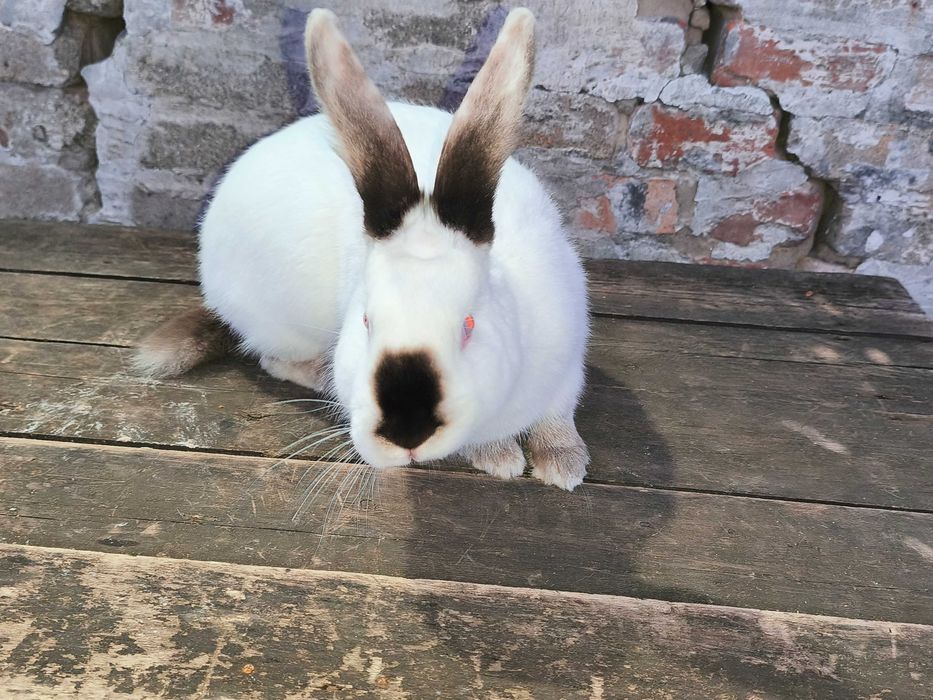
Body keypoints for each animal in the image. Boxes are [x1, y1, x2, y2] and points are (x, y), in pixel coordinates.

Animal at [135, 8, 591, 490]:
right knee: (270, 359)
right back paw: (319, 377)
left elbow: (559, 415)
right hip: (282, 326)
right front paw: (498, 457)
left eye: (469, 325)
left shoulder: (569, 362)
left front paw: (563, 464)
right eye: (367, 321)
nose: (406, 430)